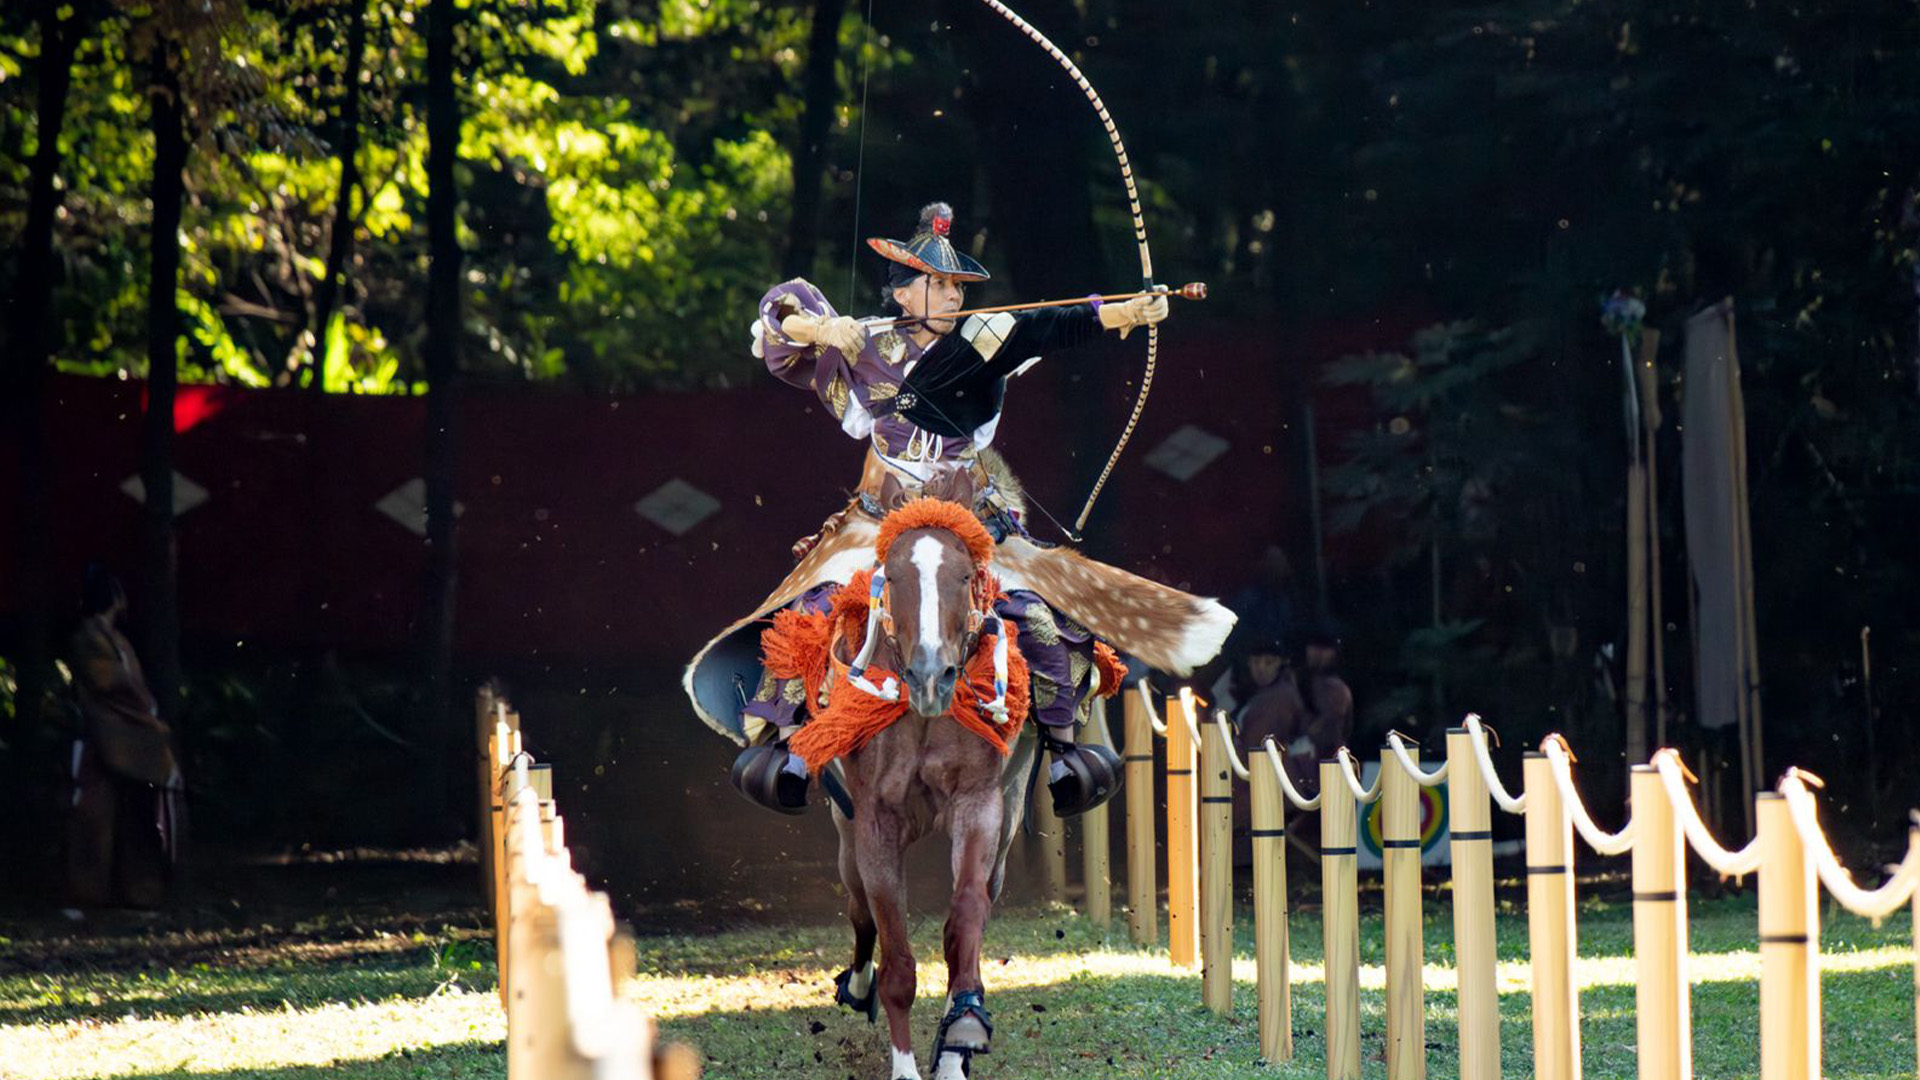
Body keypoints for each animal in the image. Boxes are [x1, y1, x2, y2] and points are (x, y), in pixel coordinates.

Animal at [821, 468, 1044, 1076]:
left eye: (964, 574)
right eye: (893, 575)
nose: (929, 674)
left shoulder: (981, 804)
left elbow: (964, 919)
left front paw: (961, 1031)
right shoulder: (874, 822)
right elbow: (895, 954)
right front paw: (904, 1064)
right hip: (845, 832)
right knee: (859, 909)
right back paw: (858, 985)